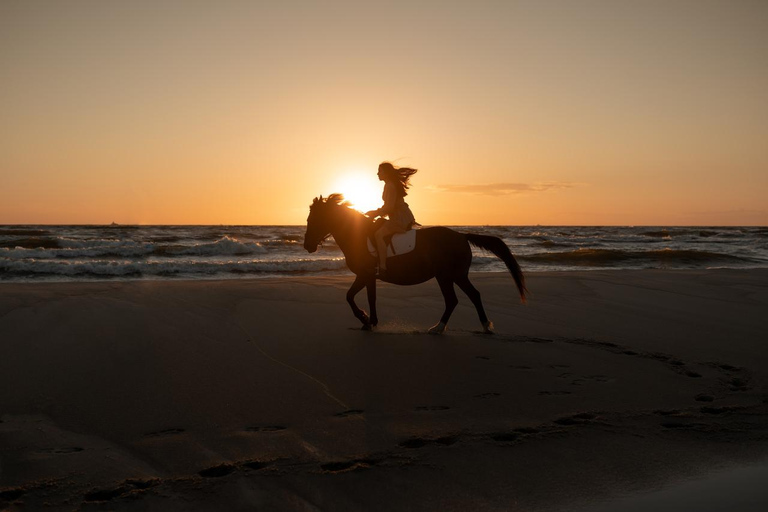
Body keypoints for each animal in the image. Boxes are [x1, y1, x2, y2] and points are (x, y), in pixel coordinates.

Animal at [303, 194, 528, 334]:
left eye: (314, 219)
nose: (307, 246)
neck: (357, 234)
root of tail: (462, 236)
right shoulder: (367, 276)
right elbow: (364, 298)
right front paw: (369, 322)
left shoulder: (365, 274)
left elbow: (353, 297)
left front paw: (366, 320)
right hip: (452, 276)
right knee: (467, 297)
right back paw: (477, 326)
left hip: (449, 275)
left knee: (458, 299)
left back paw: (443, 328)